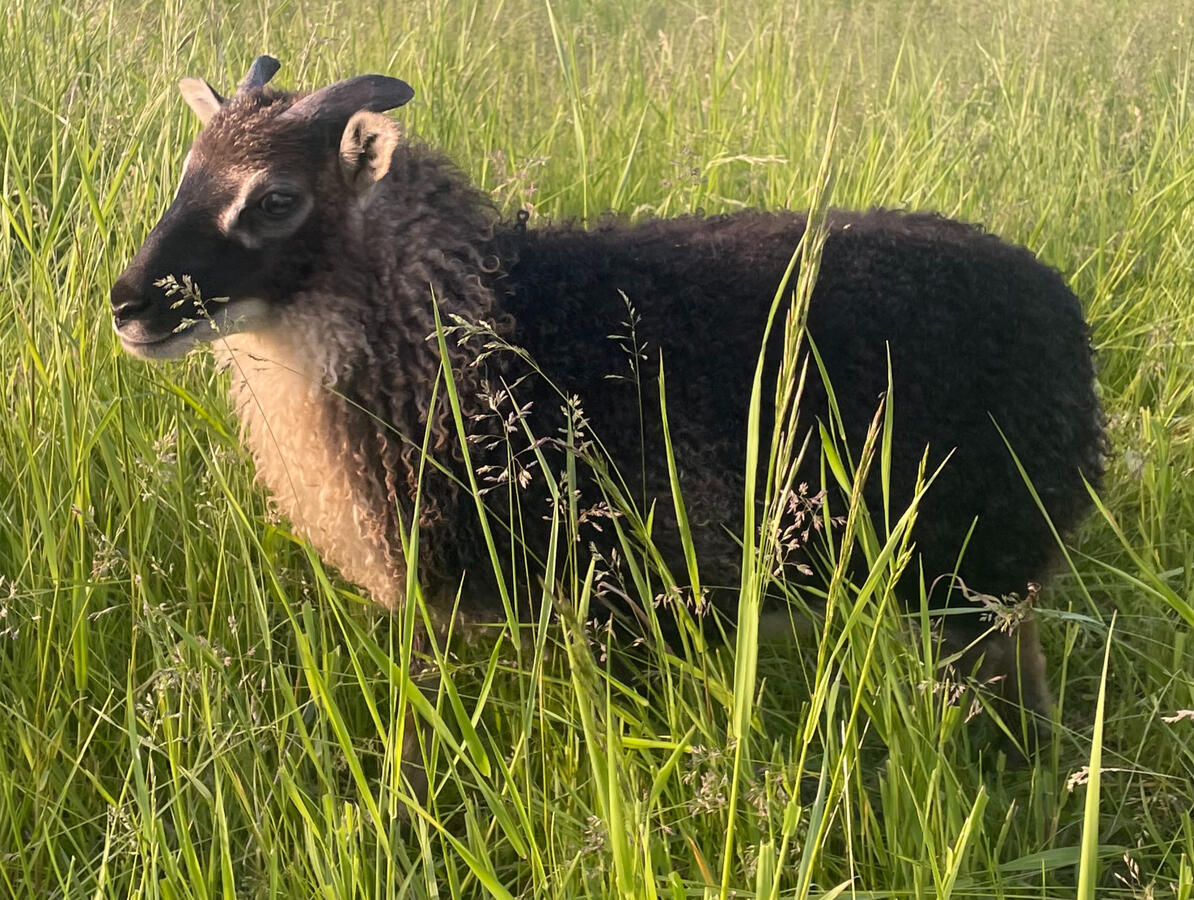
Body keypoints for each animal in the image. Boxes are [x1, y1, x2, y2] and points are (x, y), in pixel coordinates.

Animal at [110, 56, 1104, 733]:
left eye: (276, 200)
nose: (126, 306)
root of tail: (1067, 315)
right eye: (185, 176)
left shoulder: (611, 598)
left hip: (985, 570)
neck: (475, 331)